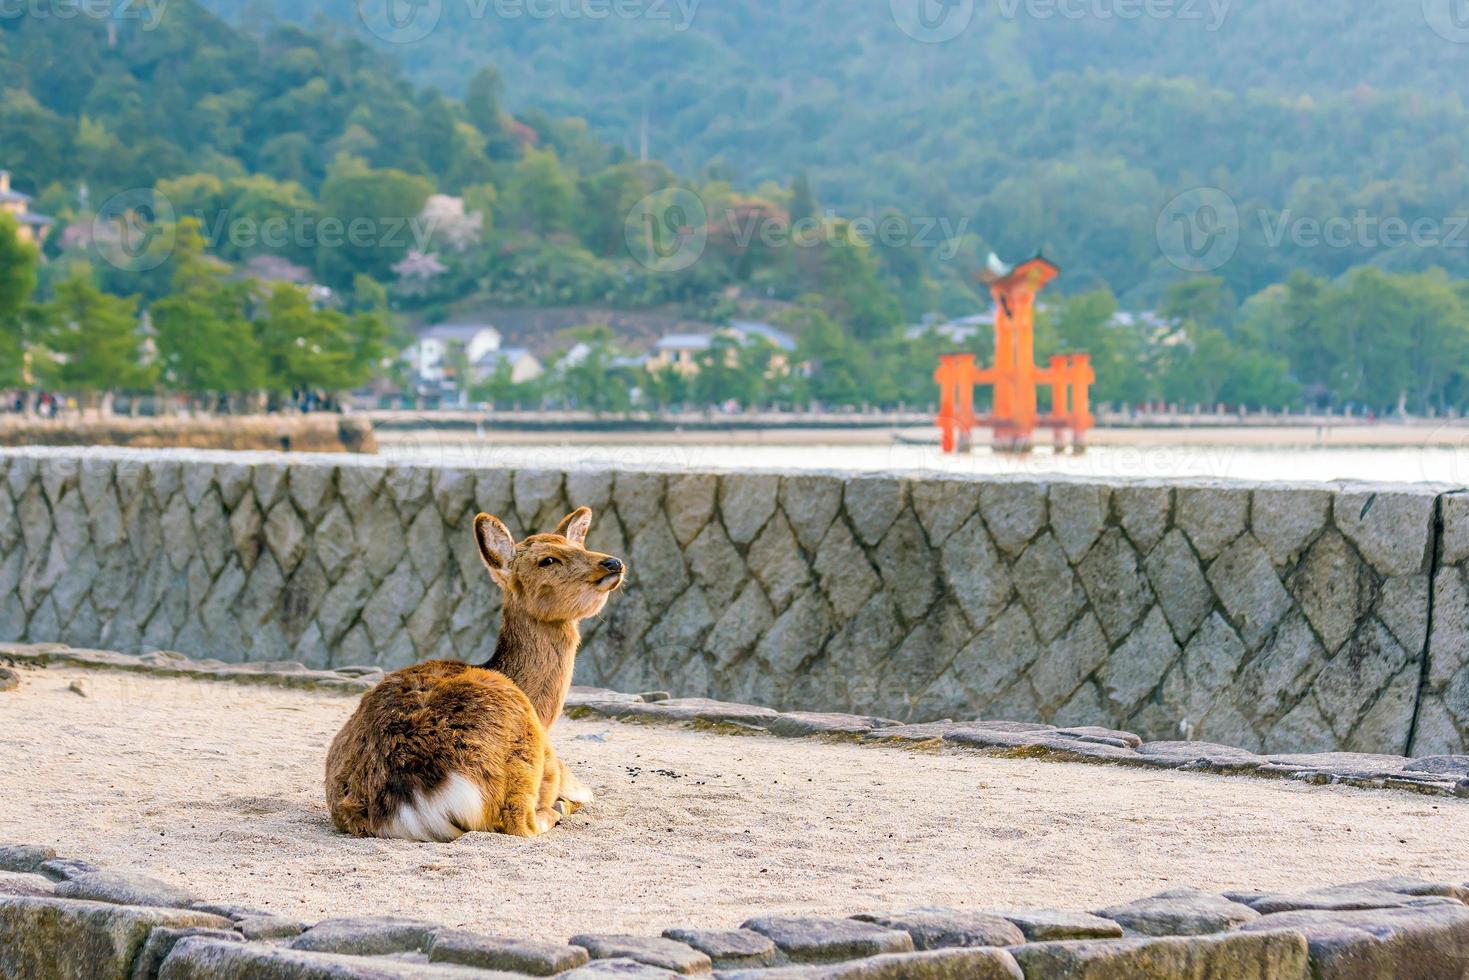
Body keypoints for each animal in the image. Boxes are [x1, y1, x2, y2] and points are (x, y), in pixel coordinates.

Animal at [324, 511, 622, 840]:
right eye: (547, 560)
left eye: (581, 545)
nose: (612, 562)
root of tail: (414, 797)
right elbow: (584, 792)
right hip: (523, 755)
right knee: (522, 821)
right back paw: (556, 808)